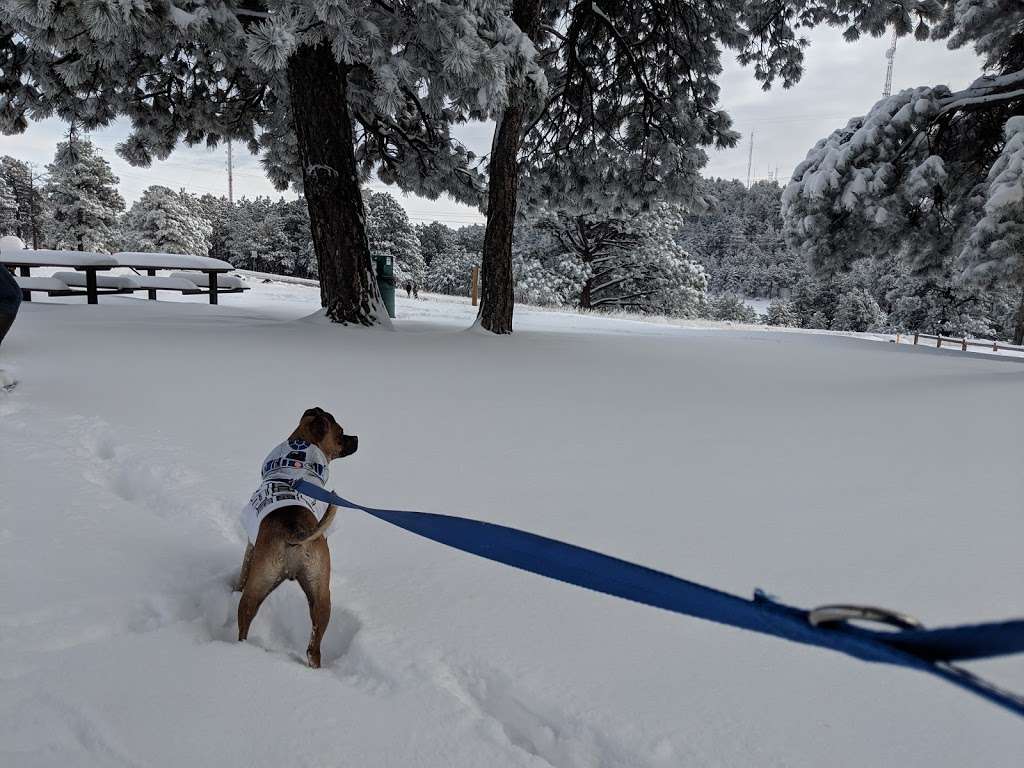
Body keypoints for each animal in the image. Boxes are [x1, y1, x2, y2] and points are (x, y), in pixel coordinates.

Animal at [237, 409, 358, 667]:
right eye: (341, 432)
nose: (356, 438)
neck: (296, 460)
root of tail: (295, 532)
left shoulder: (251, 547)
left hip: (259, 585)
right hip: (320, 594)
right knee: (313, 648)